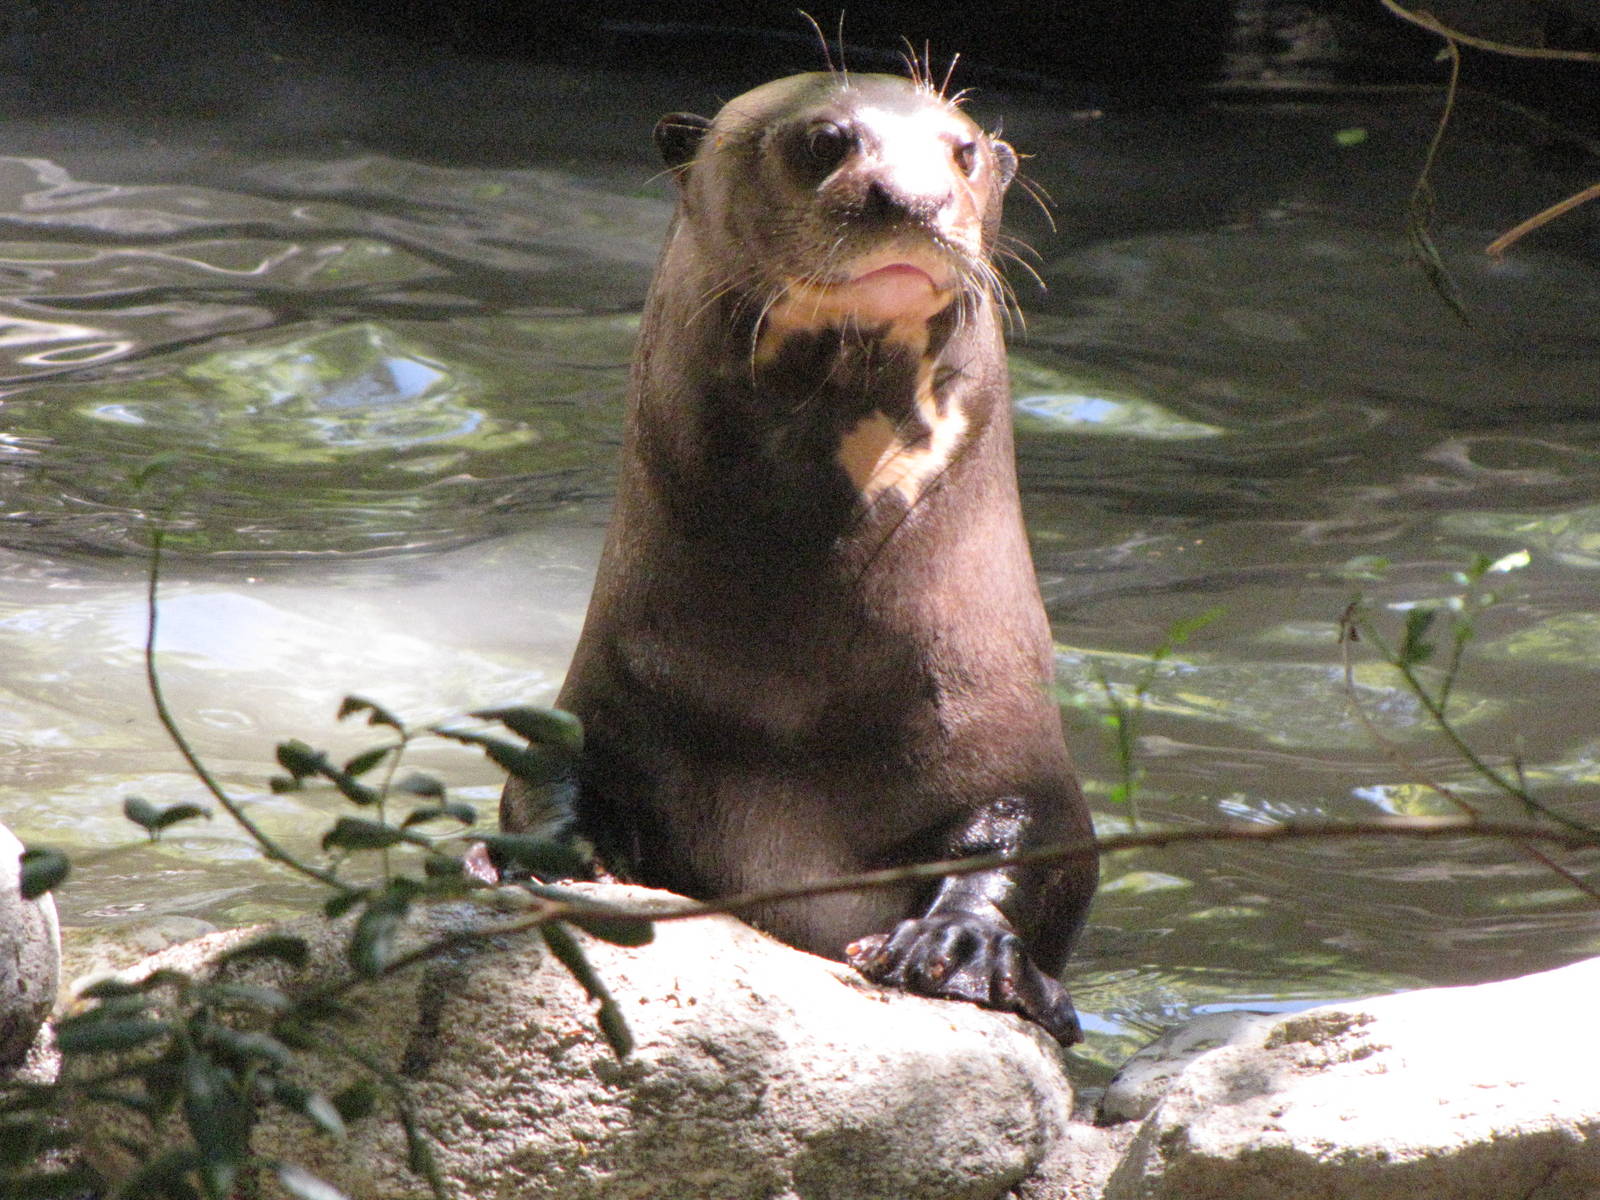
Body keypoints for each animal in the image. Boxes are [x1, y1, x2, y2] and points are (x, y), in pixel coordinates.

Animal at [502, 70, 1098, 1043]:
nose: (913, 197)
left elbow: (1047, 845)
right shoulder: (605, 701)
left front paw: (963, 945)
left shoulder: (1012, 738)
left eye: (965, 150)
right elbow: (547, 780)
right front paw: (562, 864)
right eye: (824, 139)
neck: (795, 695)